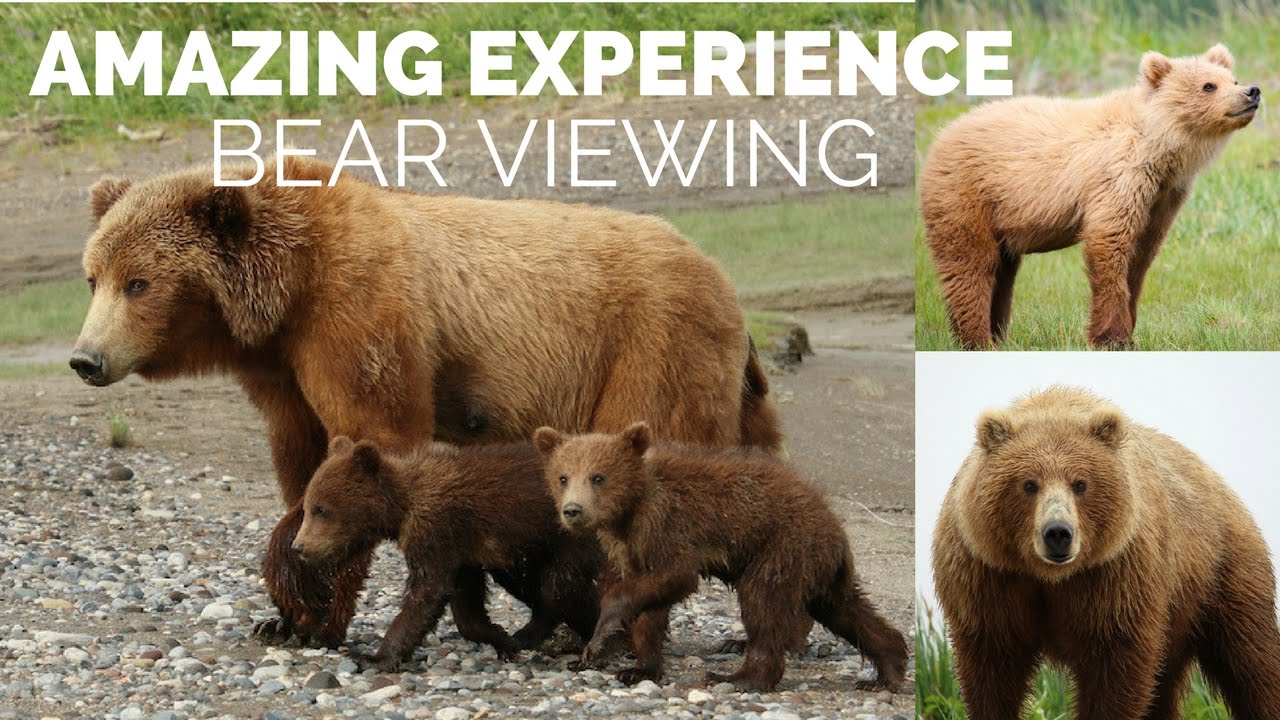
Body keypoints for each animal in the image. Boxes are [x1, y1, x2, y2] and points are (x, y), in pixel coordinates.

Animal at [290, 435, 602, 669]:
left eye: (322, 509)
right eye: (307, 506)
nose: (298, 546)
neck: (401, 507)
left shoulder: (435, 529)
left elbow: (427, 590)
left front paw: (375, 657)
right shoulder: (461, 548)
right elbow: (465, 603)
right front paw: (500, 638)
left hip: (566, 537)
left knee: (559, 587)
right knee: (533, 585)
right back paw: (526, 635)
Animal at [533, 422, 907, 692]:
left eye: (598, 476)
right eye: (562, 477)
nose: (573, 511)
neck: (631, 510)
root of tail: (835, 523)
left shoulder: (670, 525)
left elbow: (673, 576)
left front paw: (600, 637)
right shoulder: (631, 547)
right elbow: (650, 604)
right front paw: (638, 667)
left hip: (783, 545)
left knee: (762, 604)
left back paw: (739, 677)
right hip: (817, 567)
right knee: (845, 609)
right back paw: (887, 670)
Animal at [921, 45, 1260, 349]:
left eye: (1232, 79)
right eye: (1208, 85)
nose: (1252, 91)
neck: (1158, 147)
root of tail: (941, 136)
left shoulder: (1162, 198)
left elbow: (1141, 257)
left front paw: (1129, 331)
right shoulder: (1119, 179)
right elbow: (1110, 245)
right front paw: (1112, 337)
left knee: (1003, 271)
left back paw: (998, 336)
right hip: (967, 195)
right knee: (971, 264)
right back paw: (977, 339)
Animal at [931, 386, 1280, 719]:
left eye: (1080, 484)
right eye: (1029, 483)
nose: (1058, 533)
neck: (1051, 577)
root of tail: (1222, 485)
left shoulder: (1115, 578)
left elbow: (1115, 671)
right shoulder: (989, 578)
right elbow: (992, 670)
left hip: (1221, 576)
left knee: (1251, 661)